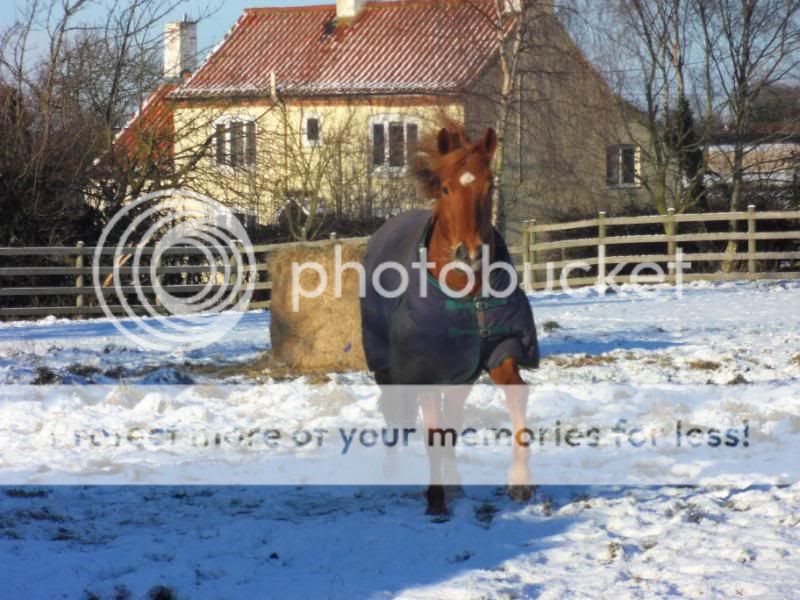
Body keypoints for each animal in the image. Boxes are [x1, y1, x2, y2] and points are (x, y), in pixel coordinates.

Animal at [360, 118, 536, 516]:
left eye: (490, 185)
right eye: (445, 187)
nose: (468, 253)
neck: (466, 296)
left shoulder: (498, 350)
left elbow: (515, 398)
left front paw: (520, 482)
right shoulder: (423, 366)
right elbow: (433, 431)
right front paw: (435, 499)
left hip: (460, 374)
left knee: (451, 421)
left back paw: (455, 485)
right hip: (387, 368)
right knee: (394, 413)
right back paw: (393, 474)